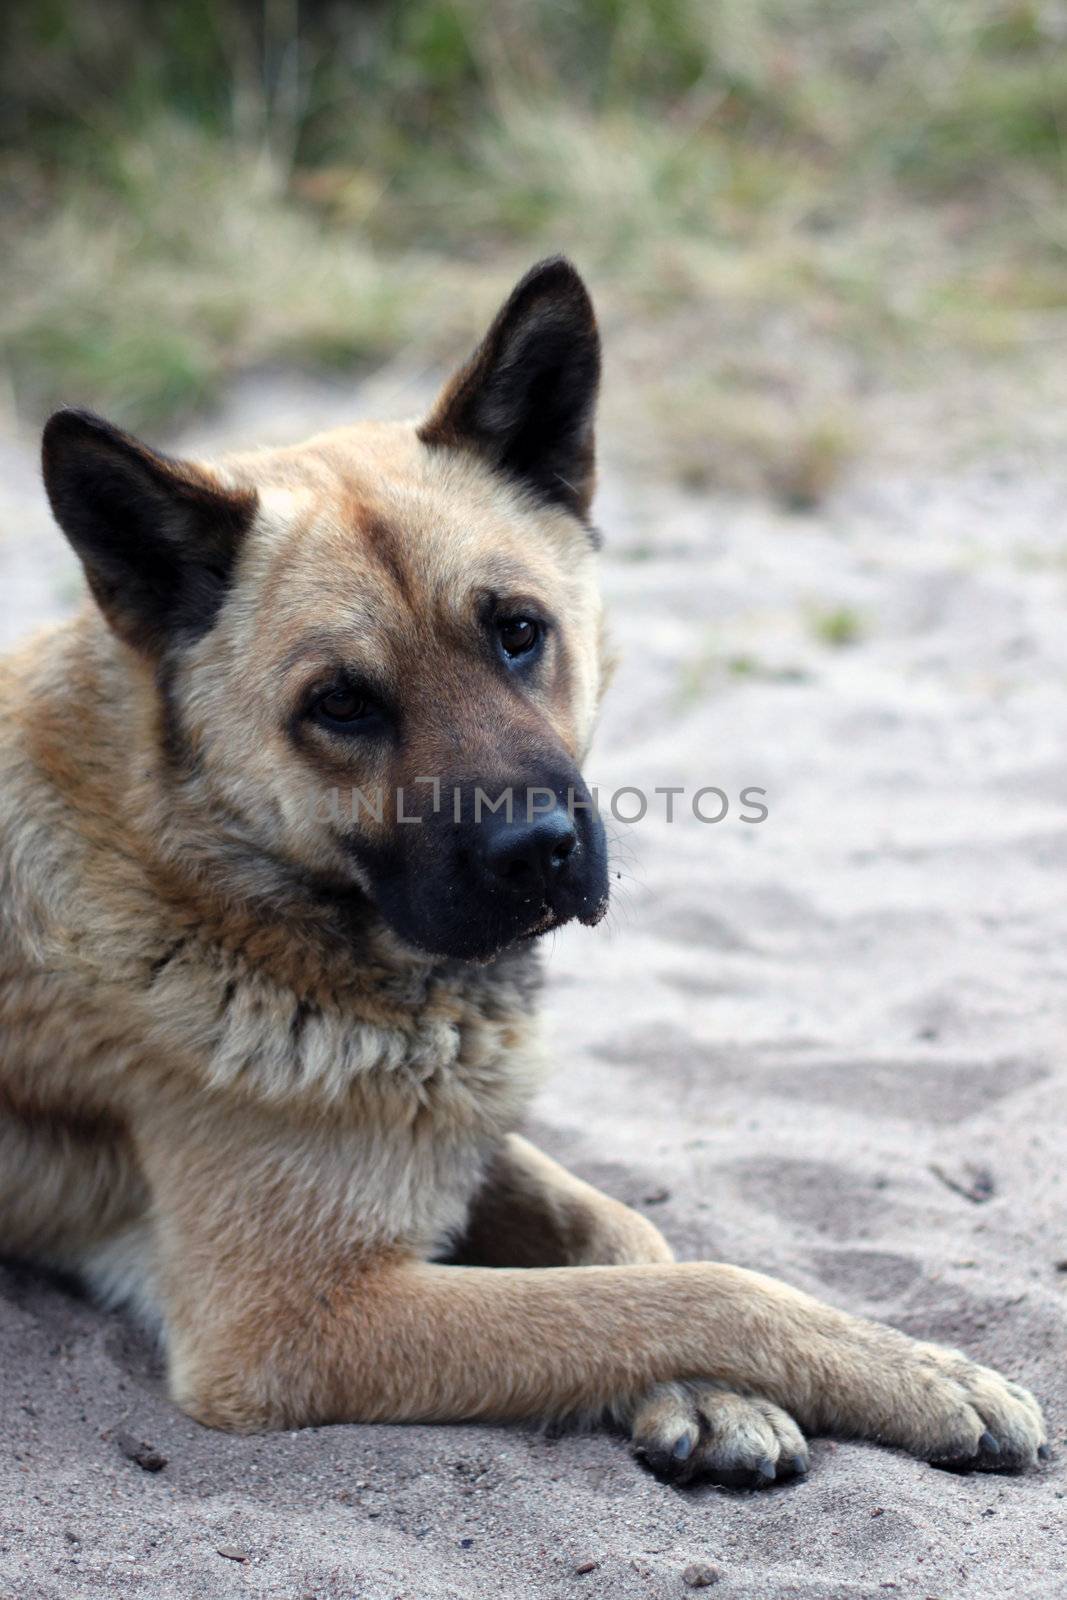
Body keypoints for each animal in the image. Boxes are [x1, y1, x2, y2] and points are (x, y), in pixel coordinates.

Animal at [0, 259, 1049, 1484]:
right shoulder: (291, 1320)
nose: (538, 850)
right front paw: (913, 1374)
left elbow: (625, 1240)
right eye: (339, 703)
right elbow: (699, 1288)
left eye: (516, 630)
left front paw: (708, 1392)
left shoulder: (452, 1123)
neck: (205, 867)